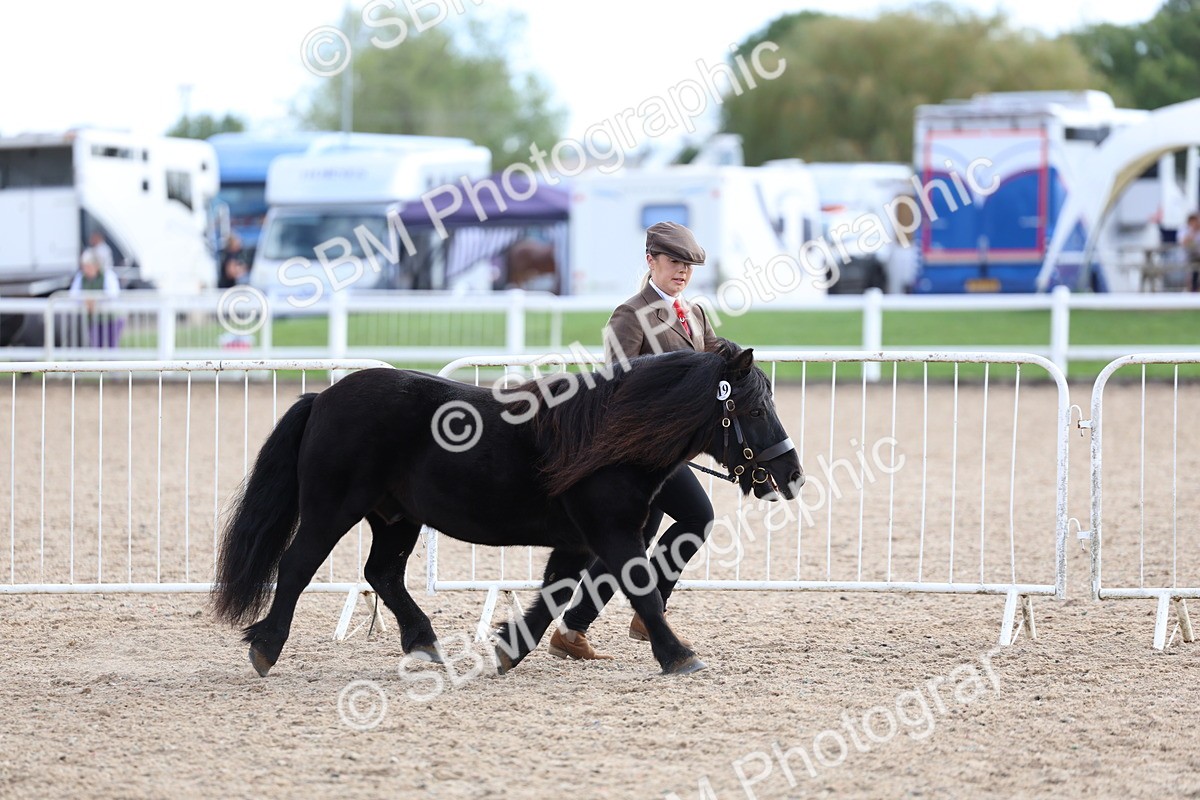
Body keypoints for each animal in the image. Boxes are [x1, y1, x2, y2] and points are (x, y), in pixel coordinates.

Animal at [211, 340, 804, 676]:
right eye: (754, 408)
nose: (792, 475)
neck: (607, 438)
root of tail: (323, 399)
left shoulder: (577, 540)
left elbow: (554, 595)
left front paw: (508, 650)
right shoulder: (612, 533)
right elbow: (641, 590)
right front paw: (678, 656)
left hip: (396, 518)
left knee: (382, 574)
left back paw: (424, 646)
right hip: (332, 509)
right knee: (296, 567)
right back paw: (266, 647)